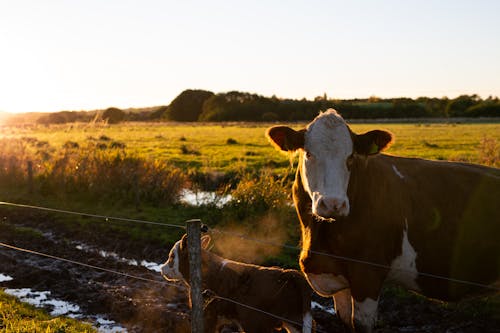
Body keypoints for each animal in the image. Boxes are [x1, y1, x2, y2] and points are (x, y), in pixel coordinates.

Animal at [160, 233, 314, 332]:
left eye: (172, 256)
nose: (162, 269)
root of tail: (288, 272)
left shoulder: (208, 314)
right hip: (295, 321)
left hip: (255, 322)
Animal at [268, 108, 500, 330]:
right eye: (308, 154)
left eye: (351, 157)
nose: (334, 204)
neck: (320, 237)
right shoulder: (337, 279)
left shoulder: (367, 275)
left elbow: (361, 324)